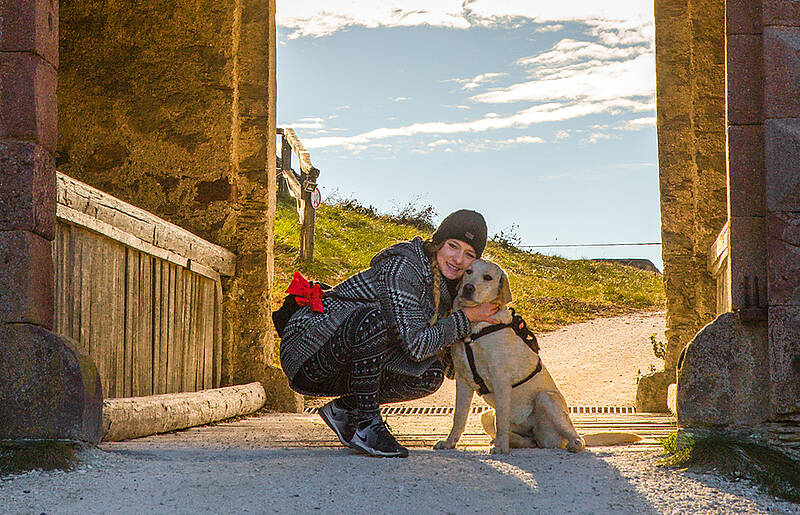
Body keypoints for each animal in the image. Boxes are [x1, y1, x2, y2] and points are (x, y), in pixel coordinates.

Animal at [434, 260, 640, 454]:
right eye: (468, 271)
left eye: (487, 277)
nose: (468, 288)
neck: (477, 329)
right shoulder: (463, 381)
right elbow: (459, 417)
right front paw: (449, 442)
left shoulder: (501, 379)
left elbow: (502, 419)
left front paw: (501, 448)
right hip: (485, 415)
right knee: (524, 439)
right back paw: (514, 441)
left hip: (546, 398)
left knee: (577, 438)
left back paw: (570, 443)